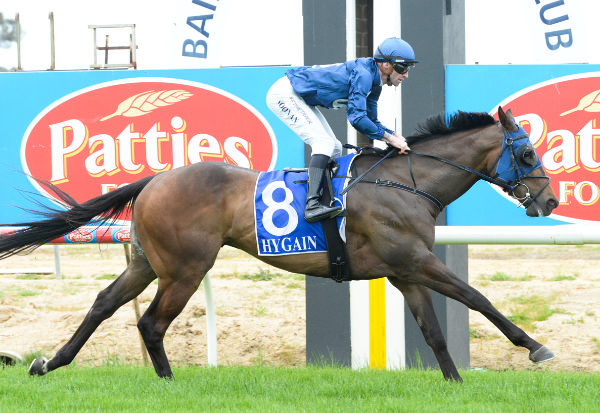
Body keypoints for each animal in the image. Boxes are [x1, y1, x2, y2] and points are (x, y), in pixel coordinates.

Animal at [0, 105, 556, 380]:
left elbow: (435, 333)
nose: (549, 202)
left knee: (103, 304)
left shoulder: (404, 272)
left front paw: (455, 384)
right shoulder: (415, 261)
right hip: (185, 269)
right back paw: (168, 381)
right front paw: (535, 348)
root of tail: (154, 179)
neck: (407, 182)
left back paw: (50, 363)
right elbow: (478, 299)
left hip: (147, 263)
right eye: (528, 154)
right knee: (151, 322)